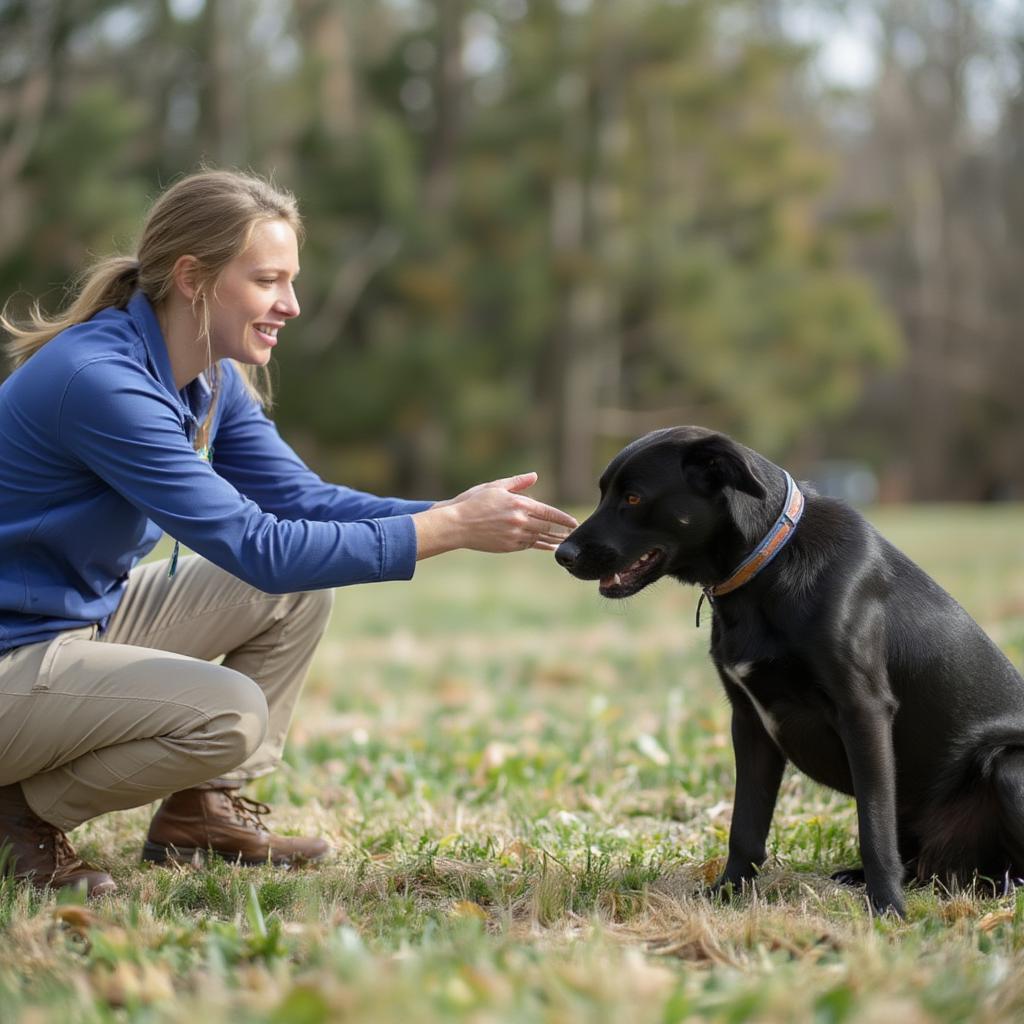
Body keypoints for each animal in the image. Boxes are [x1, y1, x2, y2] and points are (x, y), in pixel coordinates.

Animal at [557, 423, 1024, 913]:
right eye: (604, 493)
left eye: (633, 498)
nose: (562, 554)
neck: (766, 565)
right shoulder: (749, 722)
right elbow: (745, 827)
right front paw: (727, 893)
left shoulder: (863, 711)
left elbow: (873, 827)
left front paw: (887, 909)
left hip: (1010, 766)